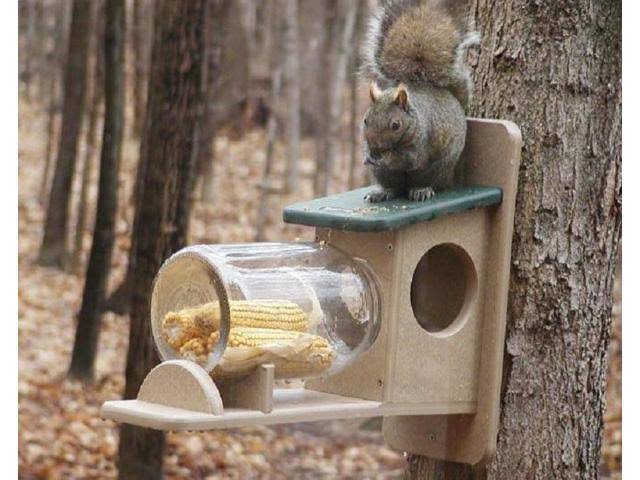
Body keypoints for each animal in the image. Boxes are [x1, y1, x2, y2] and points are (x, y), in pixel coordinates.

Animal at [361, 0, 479, 203]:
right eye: (365, 120)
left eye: (395, 125)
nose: (376, 149)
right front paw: (369, 155)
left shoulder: (422, 141)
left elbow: (409, 159)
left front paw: (387, 156)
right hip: (384, 174)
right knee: (394, 187)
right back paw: (383, 192)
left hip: (437, 169)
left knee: (426, 181)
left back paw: (421, 190)